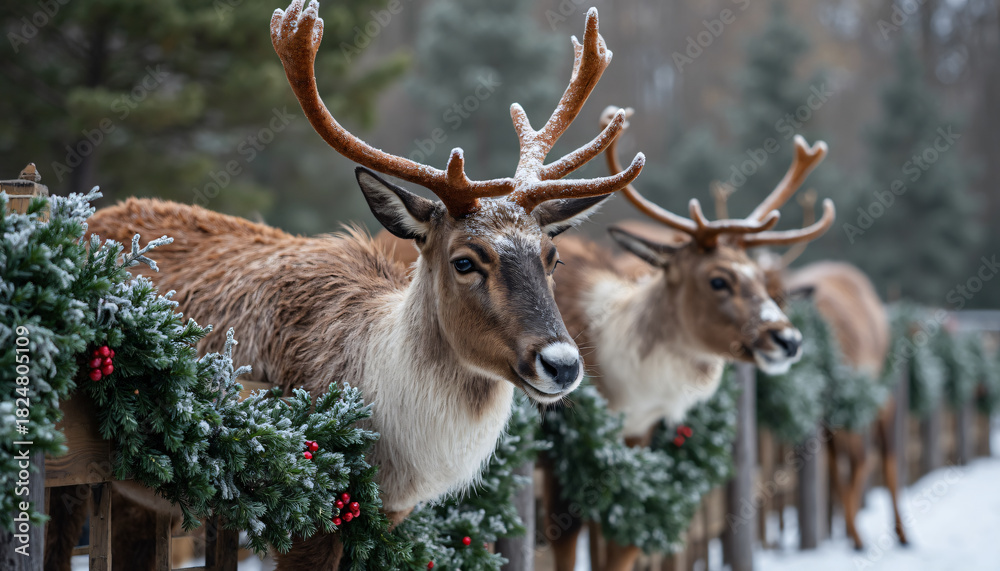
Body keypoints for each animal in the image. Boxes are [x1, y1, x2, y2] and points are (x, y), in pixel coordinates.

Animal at [44, 2, 646, 570]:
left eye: (552, 256)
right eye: (465, 261)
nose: (562, 364)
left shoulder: (384, 517)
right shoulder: (301, 513)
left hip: (137, 492)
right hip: (69, 467)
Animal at [539, 107, 835, 571]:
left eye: (762, 279)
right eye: (718, 280)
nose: (788, 340)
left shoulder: (635, 439)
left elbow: (619, 545)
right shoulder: (560, 442)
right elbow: (567, 542)